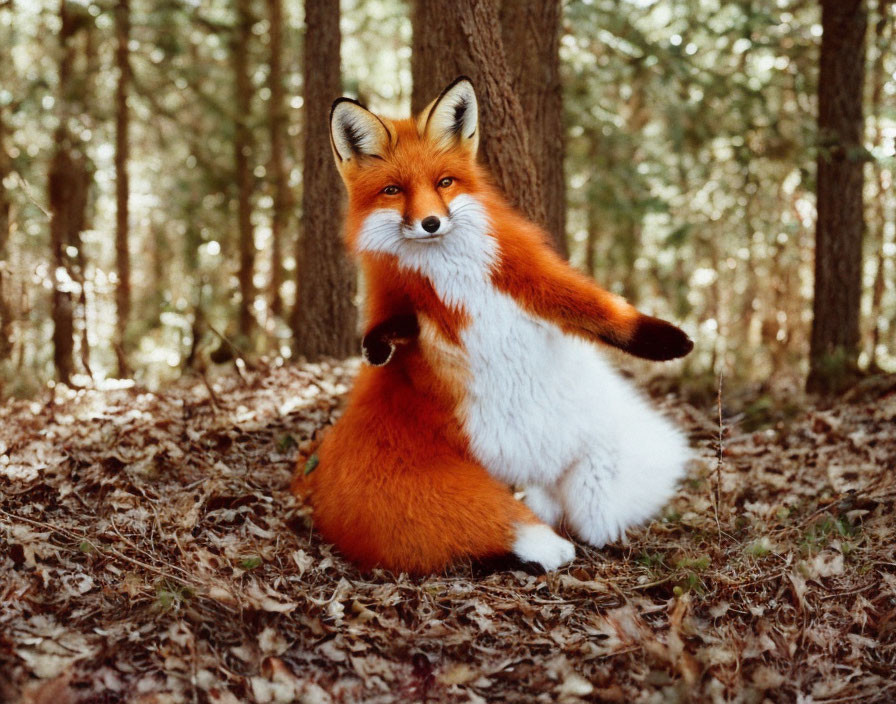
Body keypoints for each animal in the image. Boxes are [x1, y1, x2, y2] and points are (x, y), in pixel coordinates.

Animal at [294, 77, 692, 576]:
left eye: (444, 182)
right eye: (393, 190)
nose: (430, 223)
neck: (451, 271)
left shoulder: (528, 275)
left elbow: (598, 308)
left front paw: (667, 340)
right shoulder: (395, 294)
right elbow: (392, 328)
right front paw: (379, 345)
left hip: (599, 464)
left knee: (593, 509)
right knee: (512, 525)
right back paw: (543, 546)